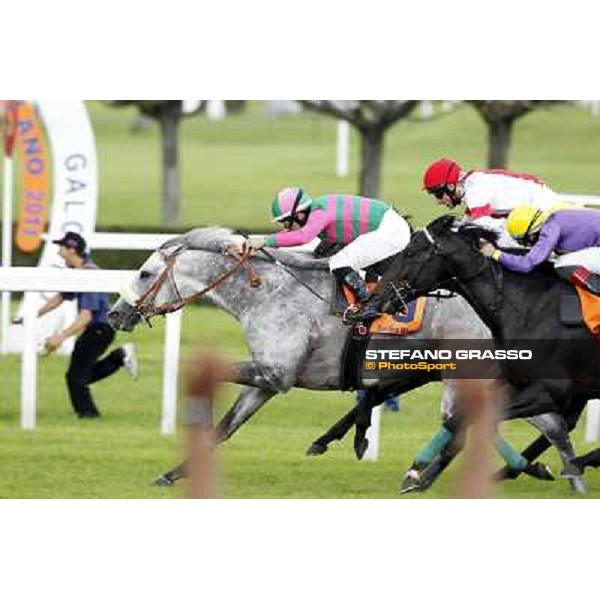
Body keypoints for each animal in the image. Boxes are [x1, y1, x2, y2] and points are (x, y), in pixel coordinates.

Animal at [108, 227, 580, 490]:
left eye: (145, 273)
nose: (115, 313)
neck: (267, 292)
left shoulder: (276, 372)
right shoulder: (268, 380)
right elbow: (225, 428)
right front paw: (173, 473)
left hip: (467, 372)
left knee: (507, 424)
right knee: (523, 425)